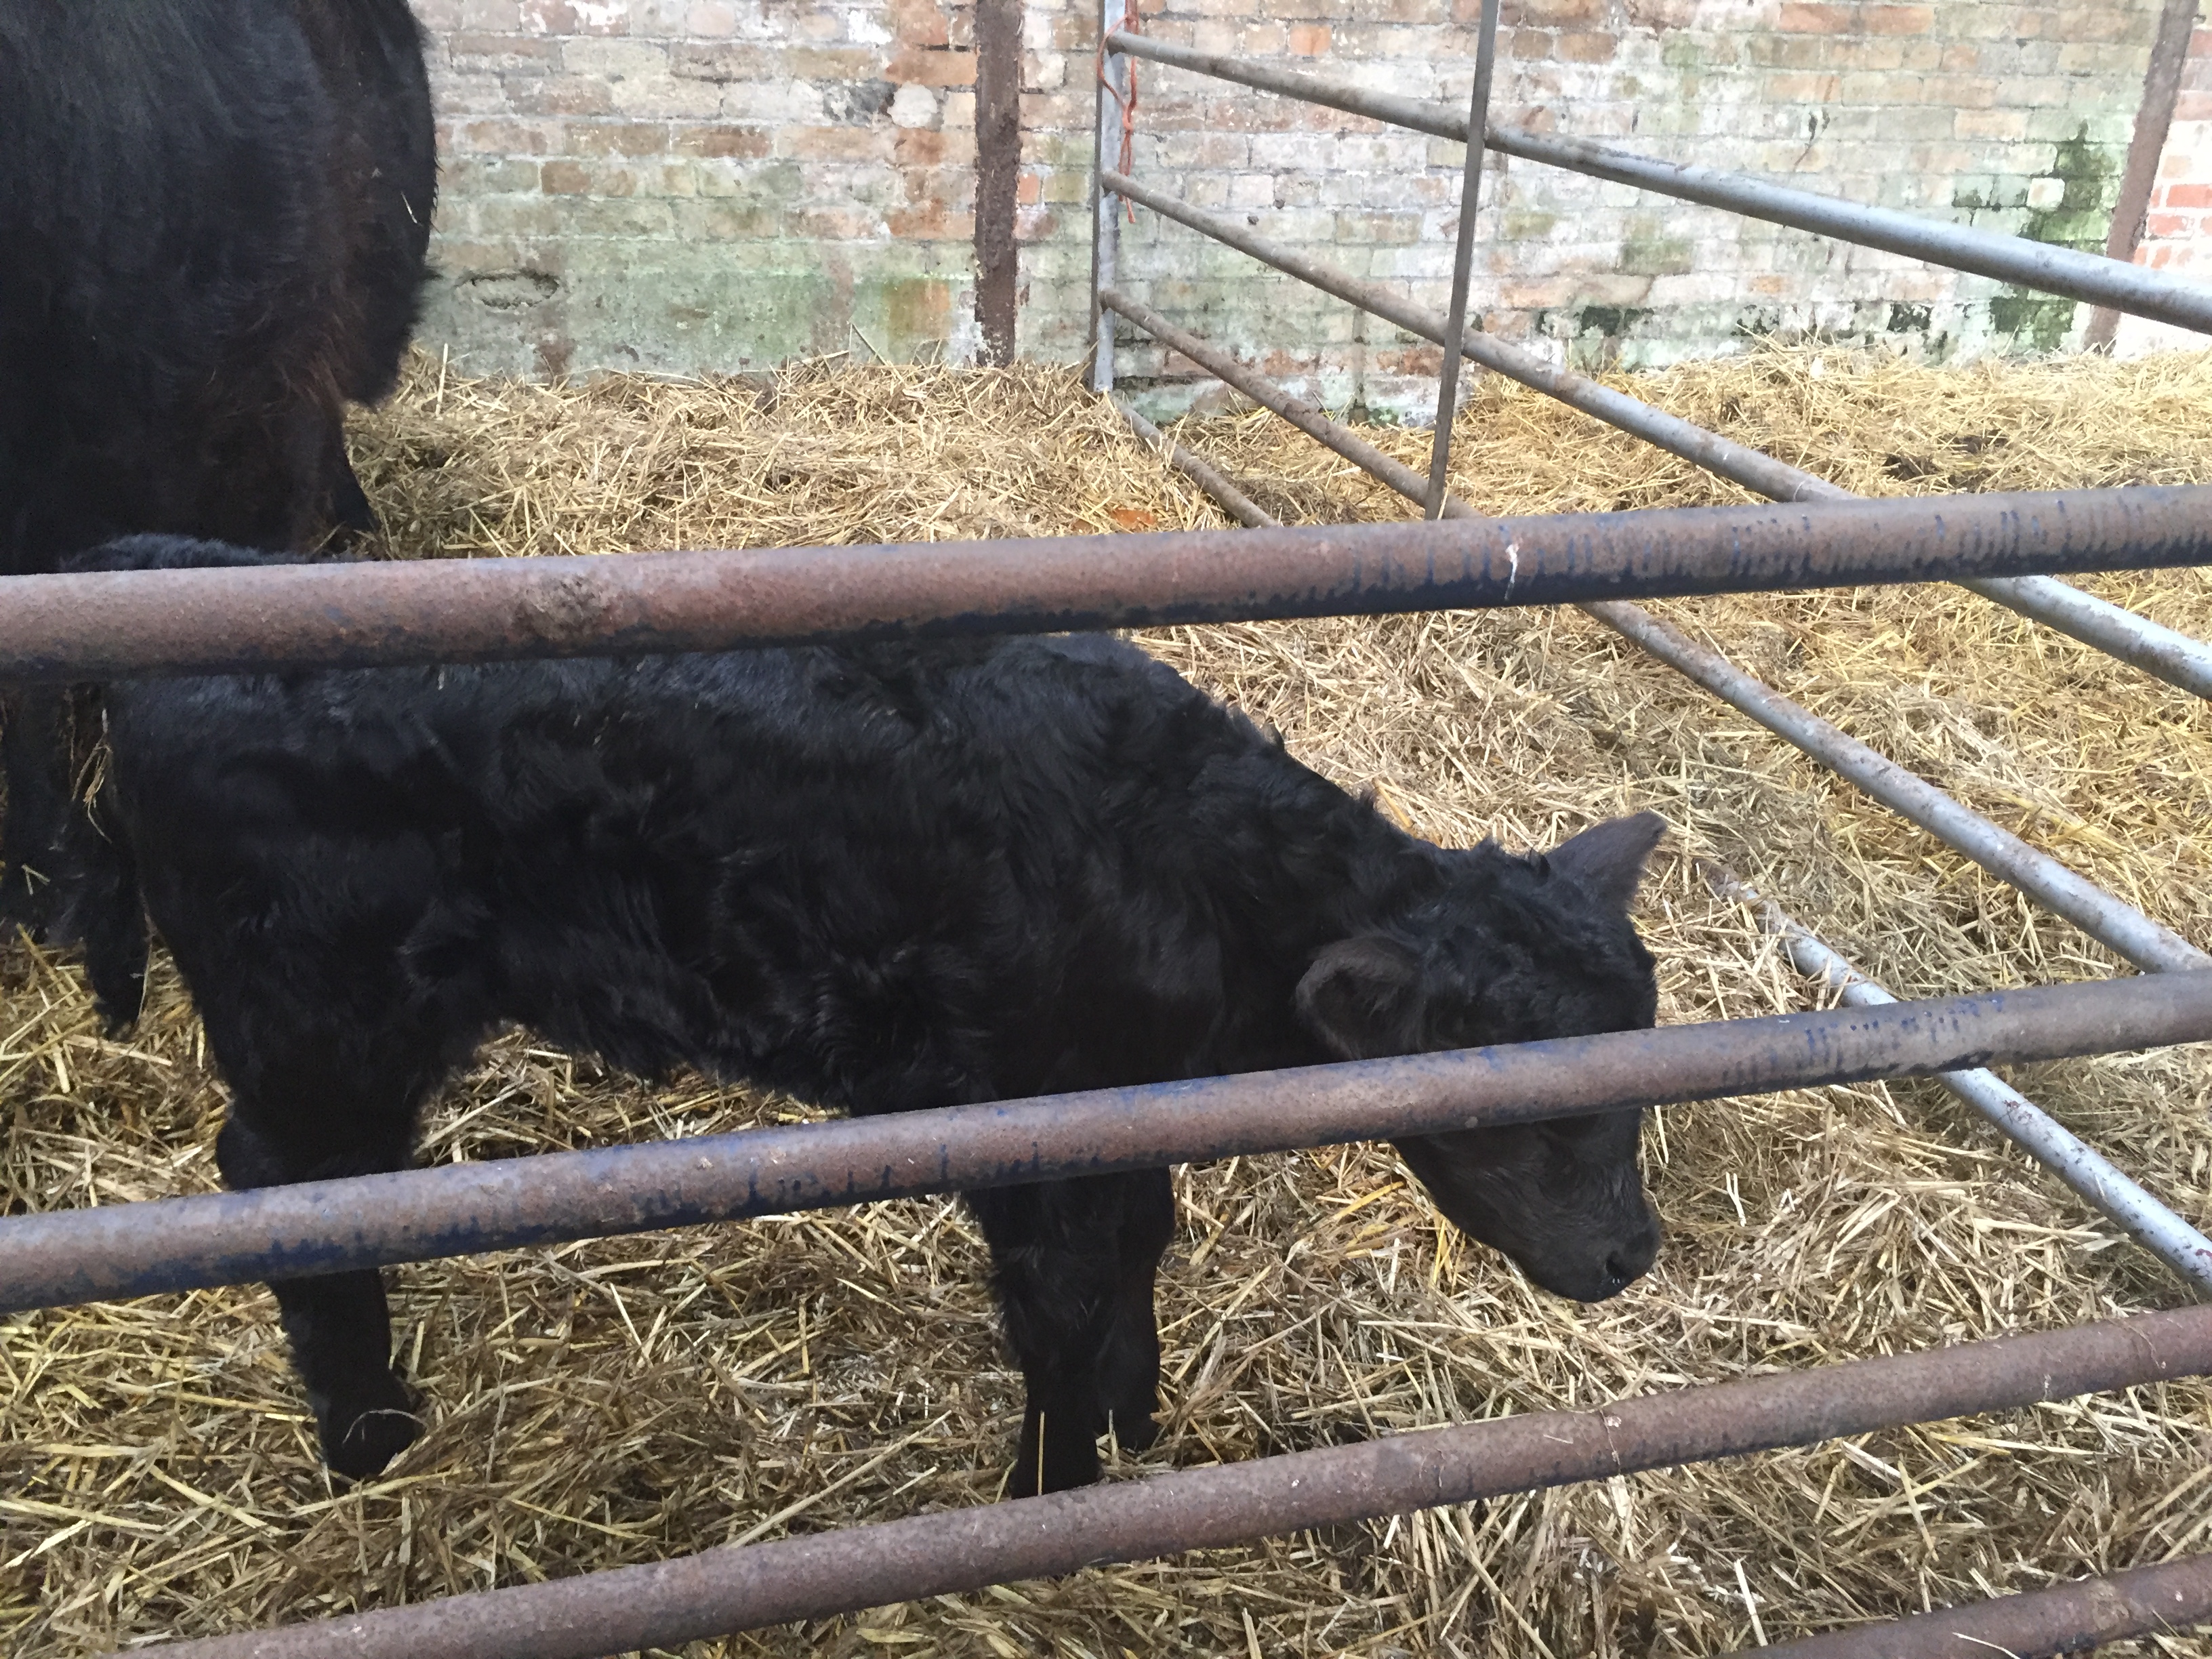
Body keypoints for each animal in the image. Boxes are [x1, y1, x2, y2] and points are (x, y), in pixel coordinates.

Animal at [80, 536, 1668, 1494]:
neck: (1178, 867)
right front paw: (1054, 1499)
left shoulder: (1124, 1117)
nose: (1629, 1255)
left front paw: (1141, 1426)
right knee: (285, 1194)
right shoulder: (1030, 1129)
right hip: (321, 1027)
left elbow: (1136, 1261)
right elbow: (1064, 1311)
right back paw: (372, 1441)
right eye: (1533, 1103)